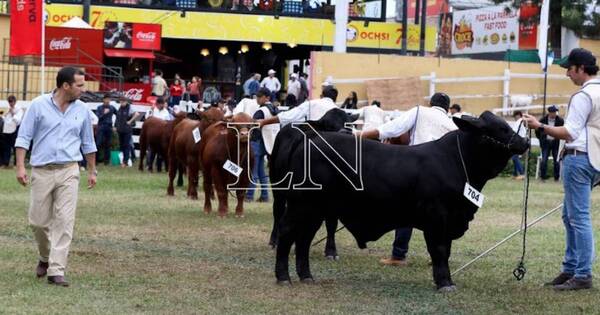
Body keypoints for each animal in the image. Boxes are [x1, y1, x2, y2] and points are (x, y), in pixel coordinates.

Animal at [270, 111, 528, 292]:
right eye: (501, 128)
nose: (525, 142)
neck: (458, 162)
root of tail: (311, 138)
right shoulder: (437, 217)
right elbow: (440, 250)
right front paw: (445, 283)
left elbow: (445, 251)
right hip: (300, 205)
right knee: (287, 232)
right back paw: (283, 277)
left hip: (315, 210)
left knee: (304, 239)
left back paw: (306, 276)